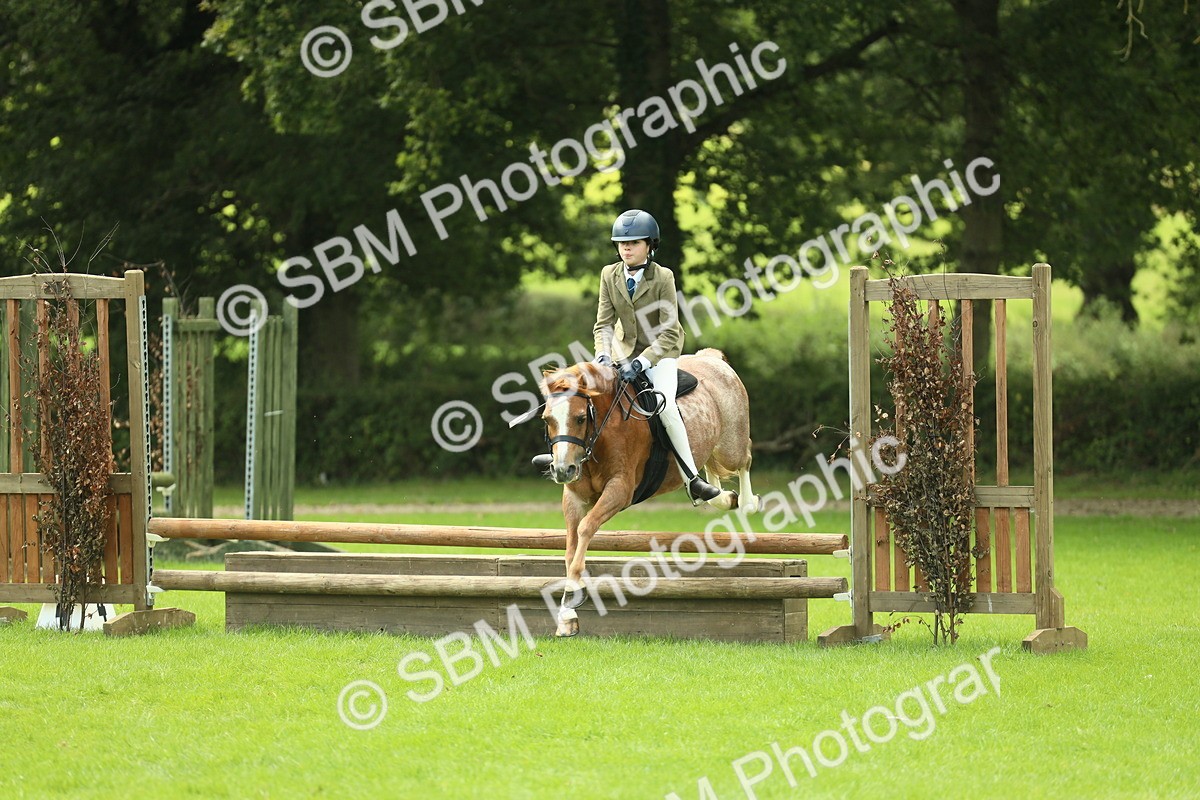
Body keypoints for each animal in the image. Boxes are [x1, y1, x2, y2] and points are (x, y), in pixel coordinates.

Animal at [538, 347, 759, 636]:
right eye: (547, 419)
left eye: (580, 418)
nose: (563, 470)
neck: (601, 433)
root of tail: (711, 358)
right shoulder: (574, 497)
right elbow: (571, 544)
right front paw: (567, 614)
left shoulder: (620, 490)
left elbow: (586, 528)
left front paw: (575, 592)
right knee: (709, 466)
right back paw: (714, 493)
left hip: (730, 445)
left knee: (744, 459)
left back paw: (747, 502)